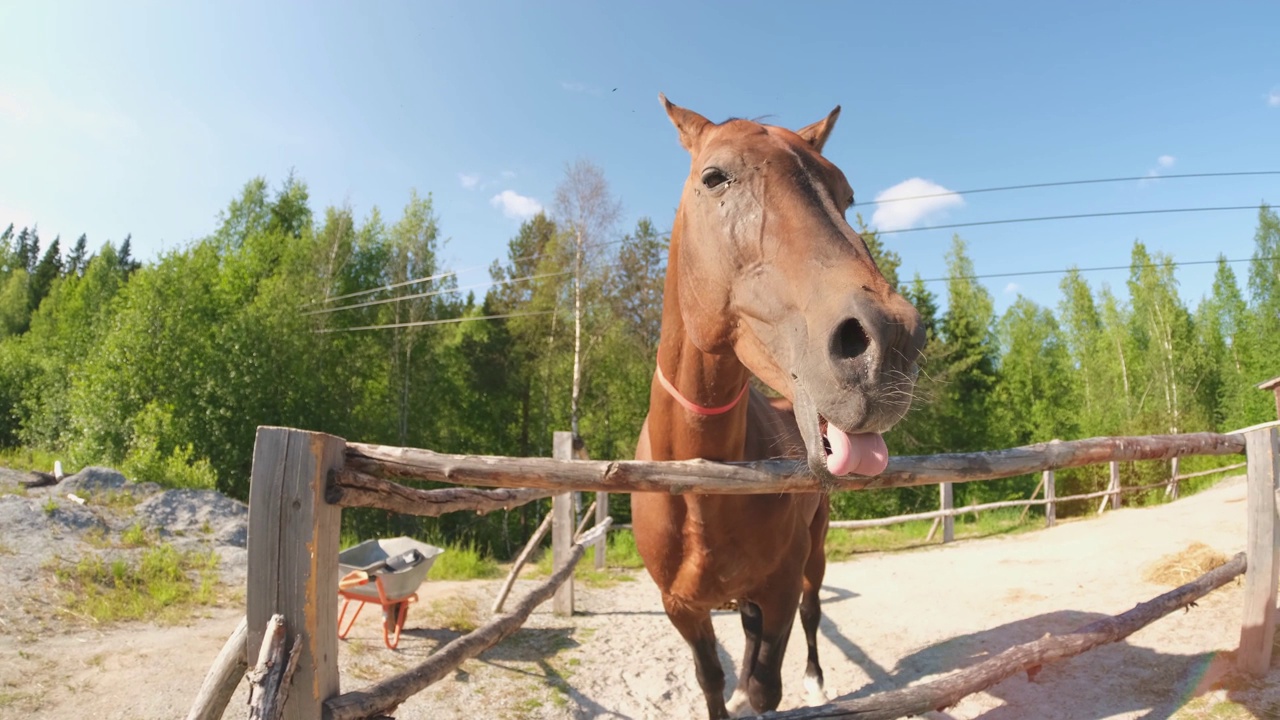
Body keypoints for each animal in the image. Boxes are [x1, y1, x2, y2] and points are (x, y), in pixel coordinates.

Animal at [632, 96, 926, 717]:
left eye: (846, 195)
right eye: (714, 177)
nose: (889, 341)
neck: (702, 483)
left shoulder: (782, 586)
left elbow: (767, 682)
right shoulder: (680, 608)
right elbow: (712, 680)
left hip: (814, 555)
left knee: (813, 614)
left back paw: (816, 680)